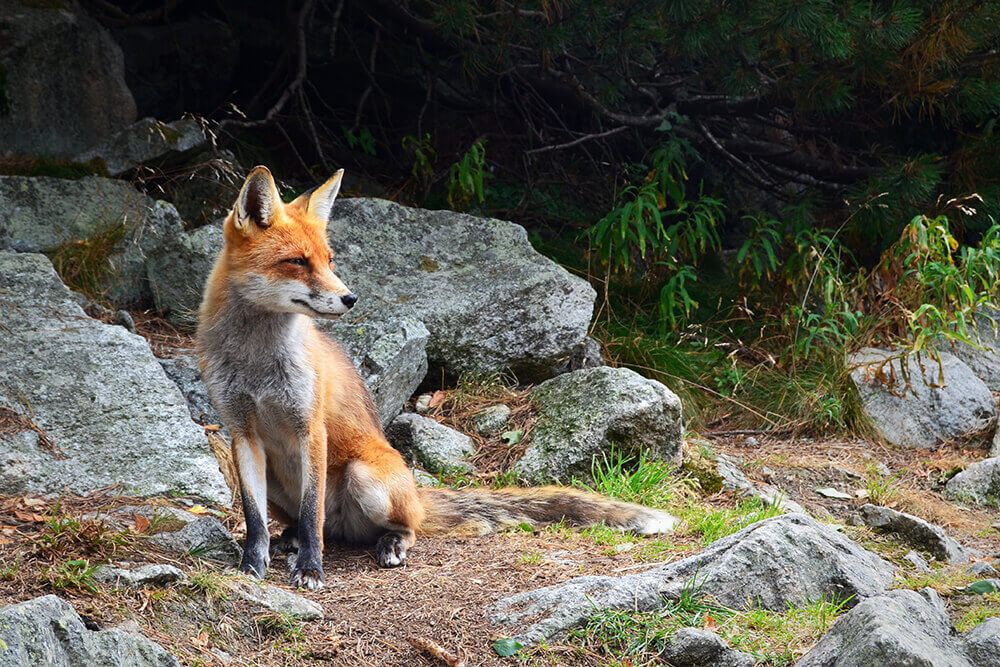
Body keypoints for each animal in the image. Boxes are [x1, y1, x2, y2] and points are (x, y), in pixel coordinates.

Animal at [195, 167, 680, 588]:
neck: (257, 364)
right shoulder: (242, 432)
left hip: (365, 478)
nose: (351, 298)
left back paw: (388, 544)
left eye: (330, 260)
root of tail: (414, 493)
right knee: (309, 523)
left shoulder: (309, 428)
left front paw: (311, 570)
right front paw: (251, 566)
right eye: (297, 261)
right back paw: (291, 539)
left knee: (387, 527)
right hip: (278, 482)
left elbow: (312, 511)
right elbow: (254, 520)